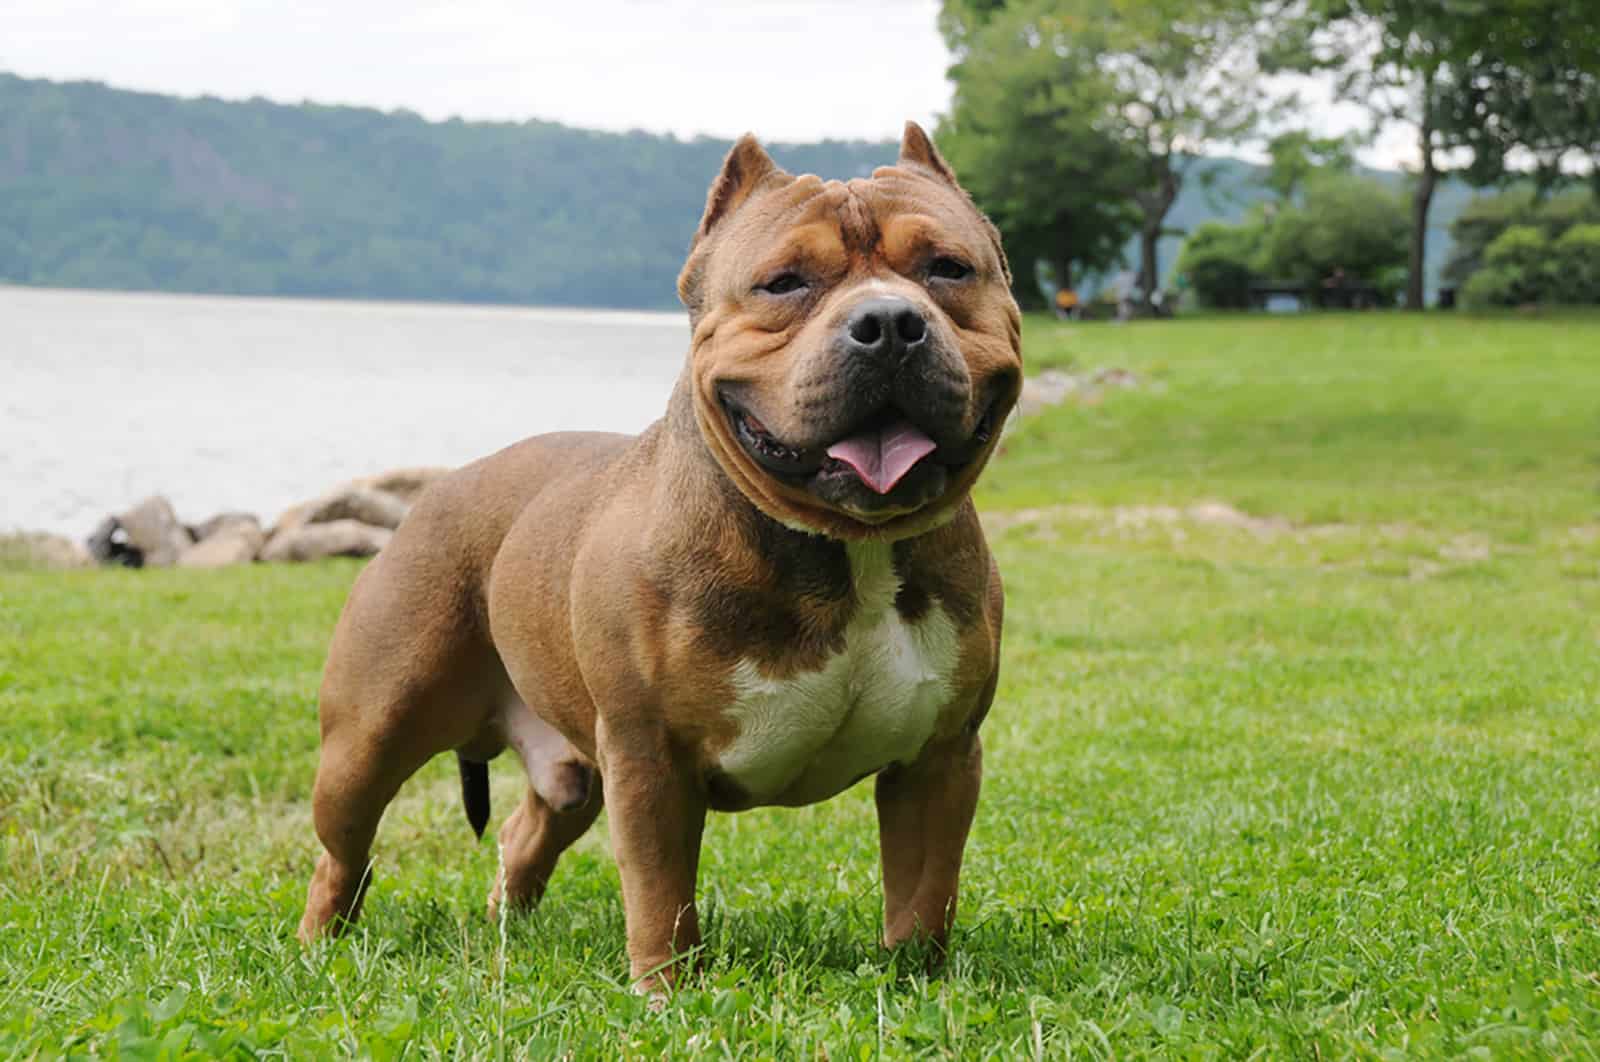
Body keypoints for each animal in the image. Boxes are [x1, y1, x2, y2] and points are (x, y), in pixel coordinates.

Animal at [297, 122, 1024, 985]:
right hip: (370, 738)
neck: (850, 549)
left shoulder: (938, 759)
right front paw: (666, 992)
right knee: (342, 852)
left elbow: (922, 892)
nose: (888, 323)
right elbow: (661, 891)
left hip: (573, 772)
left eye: (948, 268)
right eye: (783, 283)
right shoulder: (650, 757)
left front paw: (917, 982)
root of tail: (436, 492)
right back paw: (317, 947)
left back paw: (509, 933)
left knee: (525, 832)